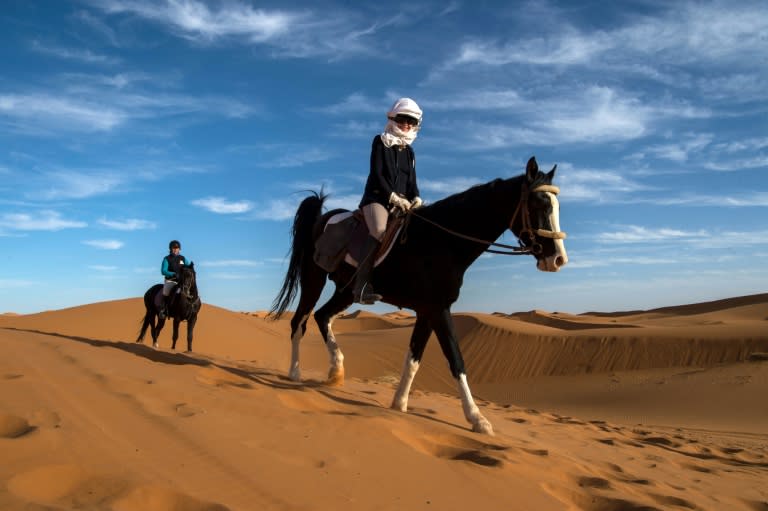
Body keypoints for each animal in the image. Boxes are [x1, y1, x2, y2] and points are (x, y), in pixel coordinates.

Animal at [268, 157, 564, 436]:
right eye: (539, 205)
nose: (558, 259)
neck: (444, 242)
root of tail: (323, 217)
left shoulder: (426, 311)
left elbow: (413, 359)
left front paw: (399, 404)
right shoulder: (438, 309)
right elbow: (456, 360)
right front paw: (477, 419)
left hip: (346, 290)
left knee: (322, 316)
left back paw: (336, 371)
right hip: (313, 280)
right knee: (299, 322)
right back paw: (295, 373)